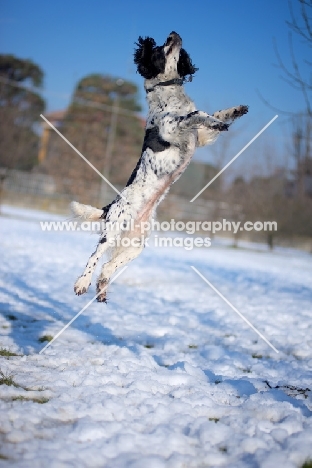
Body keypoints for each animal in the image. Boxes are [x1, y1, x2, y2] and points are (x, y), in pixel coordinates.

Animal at [72, 31, 247, 302]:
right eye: (159, 48)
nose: (173, 33)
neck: (170, 95)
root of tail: (110, 205)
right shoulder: (171, 128)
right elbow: (196, 114)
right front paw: (216, 119)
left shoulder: (200, 138)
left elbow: (214, 116)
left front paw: (234, 111)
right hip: (112, 231)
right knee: (95, 257)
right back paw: (82, 282)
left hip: (136, 245)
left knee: (108, 265)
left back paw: (101, 286)